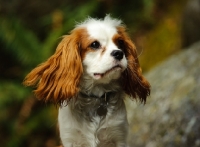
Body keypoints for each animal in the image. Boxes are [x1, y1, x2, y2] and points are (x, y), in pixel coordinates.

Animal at [23, 15, 149, 146]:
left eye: (120, 42)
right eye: (94, 44)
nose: (119, 53)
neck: (96, 98)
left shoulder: (119, 135)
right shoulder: (70, 139)